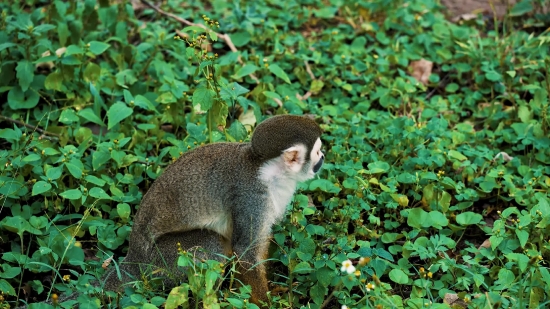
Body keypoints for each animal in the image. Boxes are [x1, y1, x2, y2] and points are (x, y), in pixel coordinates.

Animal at [104, 114, 324, 304]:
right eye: (317, 151)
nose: (323, 156)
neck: (268, 172)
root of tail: (133, 259)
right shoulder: (252, 197)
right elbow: (245, 250)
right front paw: (265, 303)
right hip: (160, 263)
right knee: (212, 245)